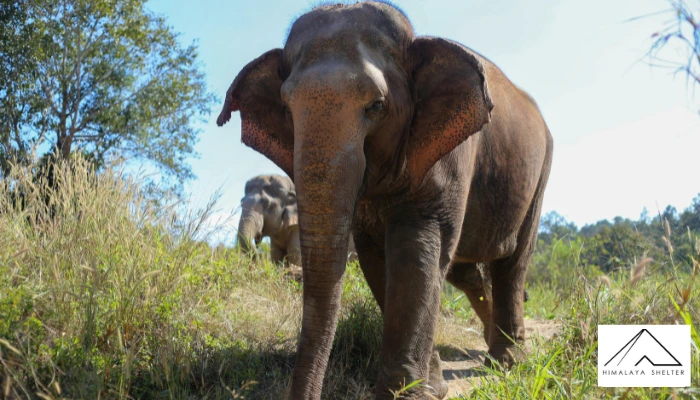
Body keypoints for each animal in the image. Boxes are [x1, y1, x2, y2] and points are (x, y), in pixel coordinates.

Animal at [217, 2, 553, 399]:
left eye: (377, 106)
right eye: (286, 108)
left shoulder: (449, 155)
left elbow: (415, 253)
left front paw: (409, 393)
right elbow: (376, 260)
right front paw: (431, 385)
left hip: (540, 173)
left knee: (512, 263)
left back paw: (508, 362)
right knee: (466, 271)